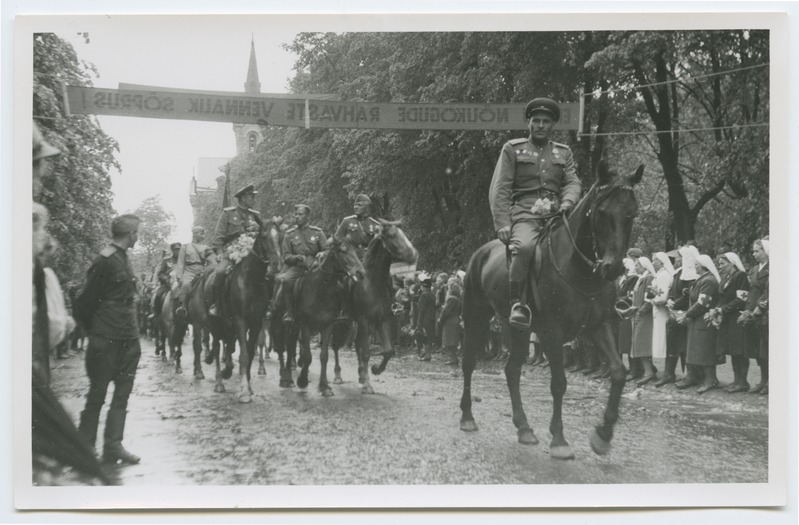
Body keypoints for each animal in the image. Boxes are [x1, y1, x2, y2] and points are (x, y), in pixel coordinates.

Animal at [280, 236, 368, 392]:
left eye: (355, 250)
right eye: (343, 250)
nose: (360, 272)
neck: (320, 289)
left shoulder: (328, 325)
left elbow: (324, 356)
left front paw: (324, 386)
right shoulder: (306, 325)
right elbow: (308, 356)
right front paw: (302, 380)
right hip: (292, 324)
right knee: (290, 346)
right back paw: (287, 378)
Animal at [352, 218, 416, 392]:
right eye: (392, 235)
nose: (414, 254)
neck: (372, 284)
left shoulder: (383, 320)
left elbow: (388, 351)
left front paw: (375, 370)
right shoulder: (364, 320)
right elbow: (366, 352)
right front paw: (367, 384)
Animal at [462, 161, 644, 458]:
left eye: (631, 213)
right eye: (602, 212)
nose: (613, 268)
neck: (581, 269)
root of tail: (482, 252)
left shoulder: (600, 325)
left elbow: (618, 373)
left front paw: (603, 434)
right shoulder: (552, 332)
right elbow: (559, 383)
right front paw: (559, 439)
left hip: (518, 330)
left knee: (512, 370)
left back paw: (524, 428)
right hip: (475, 317)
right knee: (468, 362)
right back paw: (467, 416)